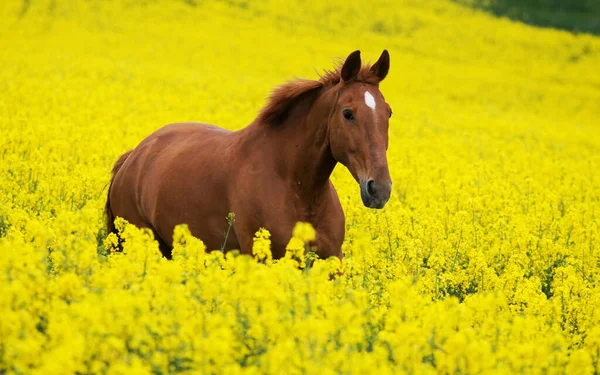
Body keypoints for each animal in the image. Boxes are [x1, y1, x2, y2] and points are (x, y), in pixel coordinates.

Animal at [104, 50, 394, 262]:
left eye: (388, 112)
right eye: (348, 113)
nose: (379, 189)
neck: (298, 189)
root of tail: (134, 156)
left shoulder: (332, 261)